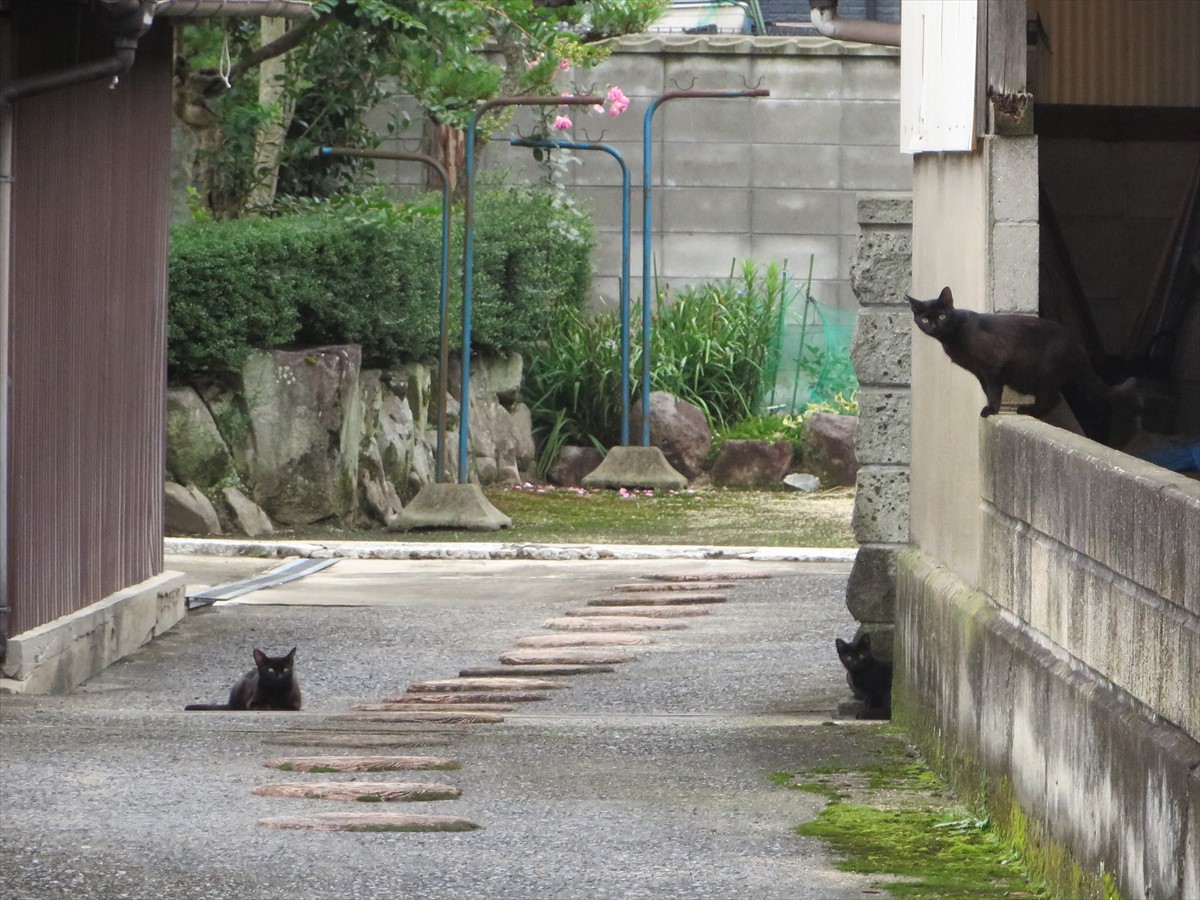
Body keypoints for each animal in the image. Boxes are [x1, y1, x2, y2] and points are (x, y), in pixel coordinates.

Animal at [907, 286, 1133, 420]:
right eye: (925, 319)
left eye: (942, 316)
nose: (934, 326)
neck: (953, 335)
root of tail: (1079, 346)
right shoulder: (980, 372)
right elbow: (987, 389)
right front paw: (992, 407)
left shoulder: (994, 364)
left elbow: (994, 389)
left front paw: (991, 410)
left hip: (1044, 373)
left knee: (1052, 399)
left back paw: (1028, 411)